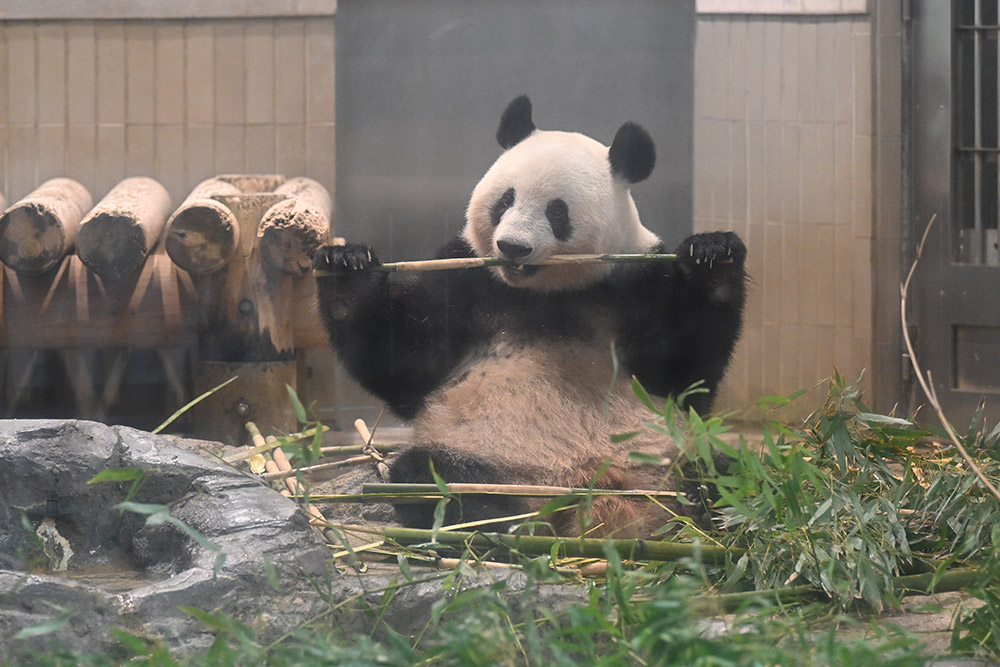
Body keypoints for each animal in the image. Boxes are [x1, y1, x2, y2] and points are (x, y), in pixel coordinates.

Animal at [316, 96, 748, 540]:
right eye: (506, 200)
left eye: (557, 212)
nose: (512, 247)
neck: (544, 291)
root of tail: (593, 499)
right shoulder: (466, 277)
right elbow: (405, 363)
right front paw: (347, 268)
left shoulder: (635, 281)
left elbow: (685, 373)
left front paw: (712, 254)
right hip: (495, 458)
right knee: (434, 479)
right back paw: (497, 524)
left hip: (668, 459)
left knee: (733, 471)